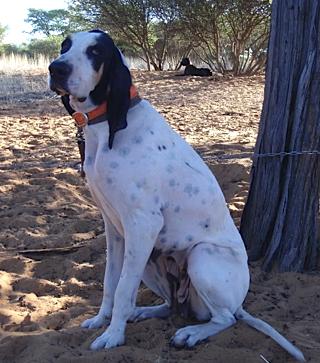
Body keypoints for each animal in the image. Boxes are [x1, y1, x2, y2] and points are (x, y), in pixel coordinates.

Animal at [48, 30, 304, 362]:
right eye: (65, 46)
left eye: (95, 52)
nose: (56, 69)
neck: (107, 127)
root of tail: (240, 302)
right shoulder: (115, 228)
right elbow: (110, 282)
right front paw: (102, 320)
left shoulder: (143, 224)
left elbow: (123, 288)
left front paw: (113, 336)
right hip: (150, 261)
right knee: (172, 306)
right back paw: (145, 312)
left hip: (201, 256)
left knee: (225, 318)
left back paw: (191, 333)